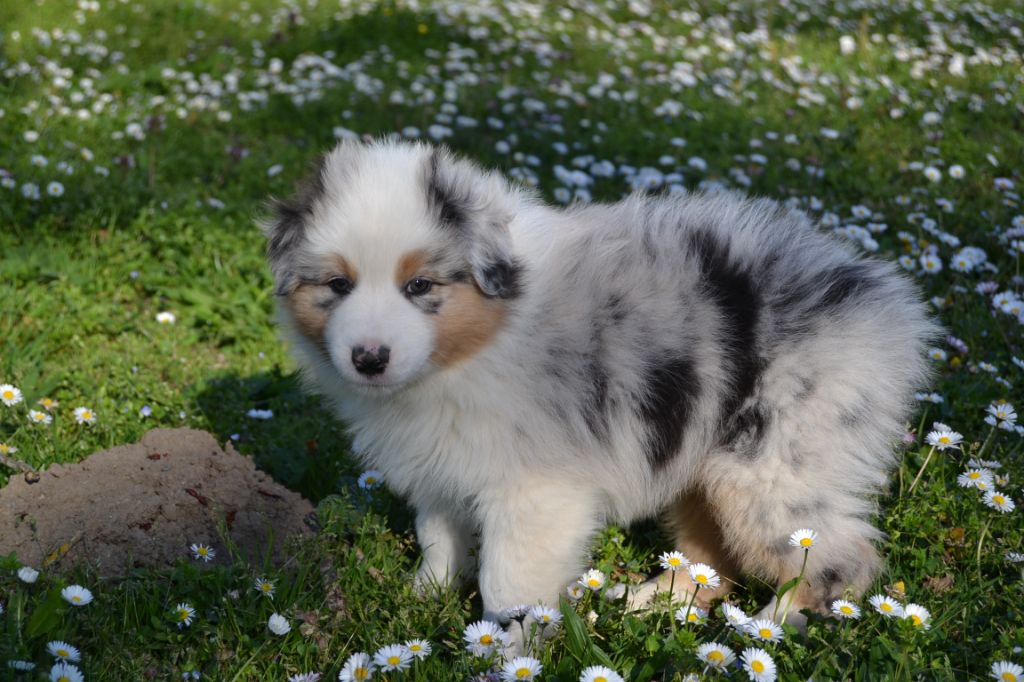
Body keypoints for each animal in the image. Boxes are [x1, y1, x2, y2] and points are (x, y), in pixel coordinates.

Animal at [262, 139, 937, 638]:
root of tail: (884, 300)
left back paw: (768, 625)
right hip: (705, 459)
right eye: (338, 285)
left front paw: (503, 650)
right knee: (709, 556)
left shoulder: (536, 491)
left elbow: (508, 583)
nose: (369, 358)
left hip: (775, 465)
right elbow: (439, 537)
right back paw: (654, 601)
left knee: (839, 555)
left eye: (420, 286)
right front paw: (419, 599)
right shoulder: (441, 461)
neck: (482, 339)